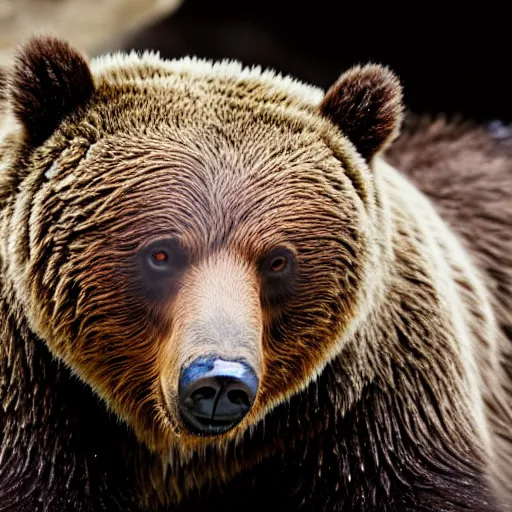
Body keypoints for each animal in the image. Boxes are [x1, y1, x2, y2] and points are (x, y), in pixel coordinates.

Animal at [0, 37, 510, 512]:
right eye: (161, 253)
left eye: (278, 260)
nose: (220, 379)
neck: (182, 455)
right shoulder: (33, 403)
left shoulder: (380, 407)